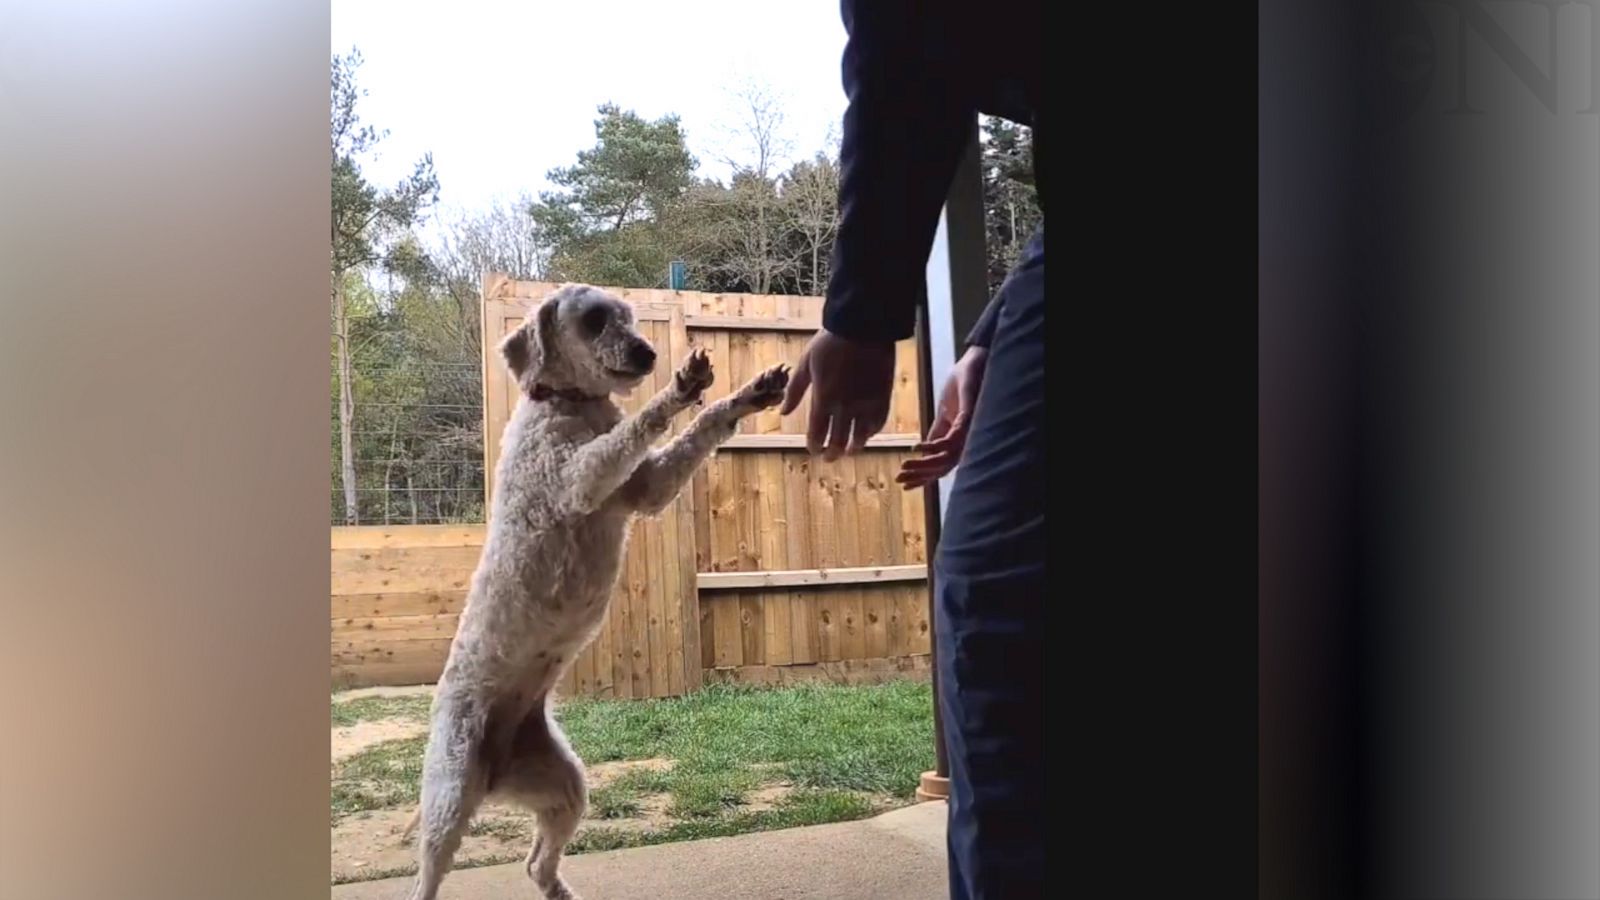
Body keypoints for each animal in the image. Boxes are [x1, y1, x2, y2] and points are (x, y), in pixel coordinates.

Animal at [403, 281, 790, 896]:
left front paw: (747, 394)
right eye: (592, 321)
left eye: (628, 316)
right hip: (450, 795)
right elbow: (629, 431)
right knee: (428, 877)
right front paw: (677, 390)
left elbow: (699, 432)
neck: (568, 404)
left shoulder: (648, 489)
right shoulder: (577, 480)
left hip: (564, 784)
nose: (648, 353)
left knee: (537, 863)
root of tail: (494, 768)